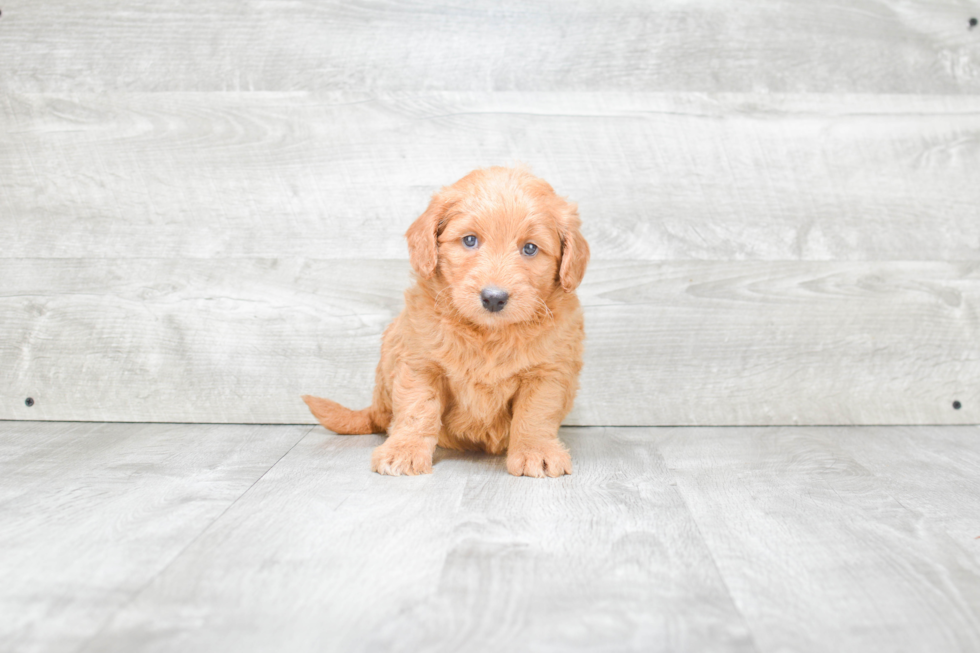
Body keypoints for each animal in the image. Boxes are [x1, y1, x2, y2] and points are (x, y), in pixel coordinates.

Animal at [300, 166, 588, 476]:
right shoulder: (419, 364)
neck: (488, 335)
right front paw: (405, 451)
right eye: (470, 240)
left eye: (531, 248)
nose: (494, 298)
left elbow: (535, 414)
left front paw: (537, 451)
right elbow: (417, 410)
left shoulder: (548, 372)